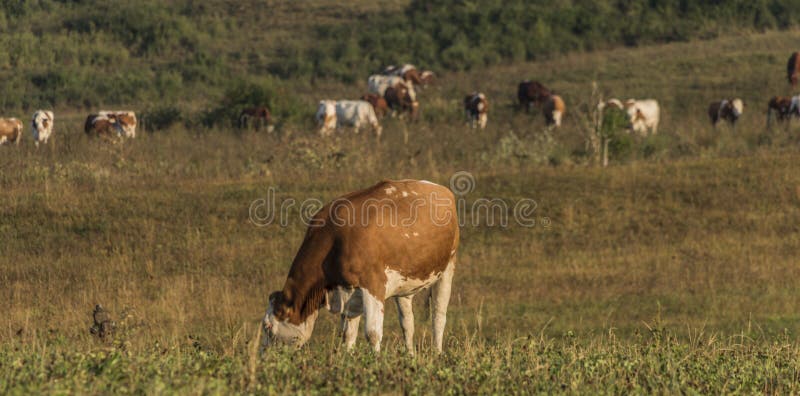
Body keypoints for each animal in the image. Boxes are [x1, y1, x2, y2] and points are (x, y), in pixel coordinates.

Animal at [262, 179, 460, 352]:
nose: (264, 359)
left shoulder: (373, 284)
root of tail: (439, 187)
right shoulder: (349, 291)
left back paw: (437, 353)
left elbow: (372, 333)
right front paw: (349, 358)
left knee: (438, 317)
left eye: (268, 327)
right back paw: (410, 355)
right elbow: (348, 334)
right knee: (407, 323)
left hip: (447, 269)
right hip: (405, 282)